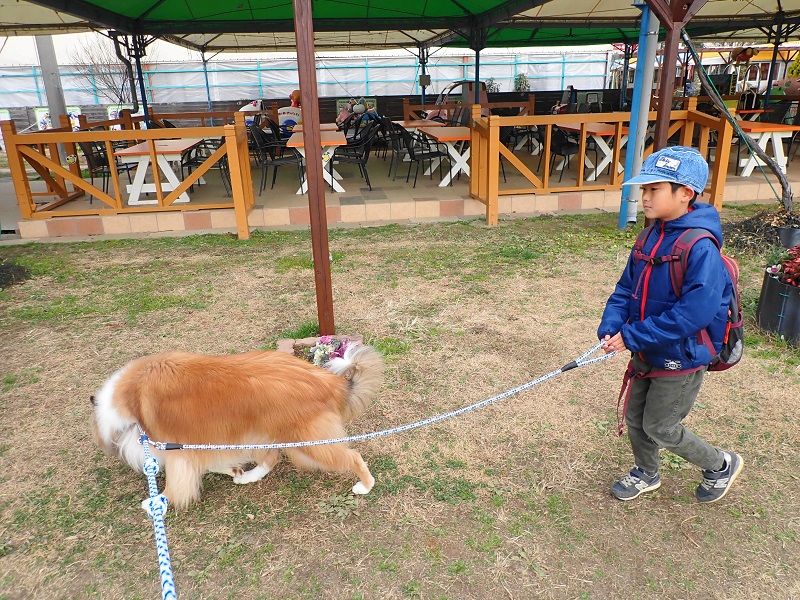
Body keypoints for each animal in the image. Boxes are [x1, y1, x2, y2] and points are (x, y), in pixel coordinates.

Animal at [90, 344, 384, 508]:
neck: (131, 397)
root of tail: (331, 382)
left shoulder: (178, 448)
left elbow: (177, 482)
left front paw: (156, 502)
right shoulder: (199, 443)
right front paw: (233, 470)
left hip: (308, 441)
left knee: (353, 457)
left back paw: (365, 485)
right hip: (267, 433)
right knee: (271, 458)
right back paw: (249, 476)